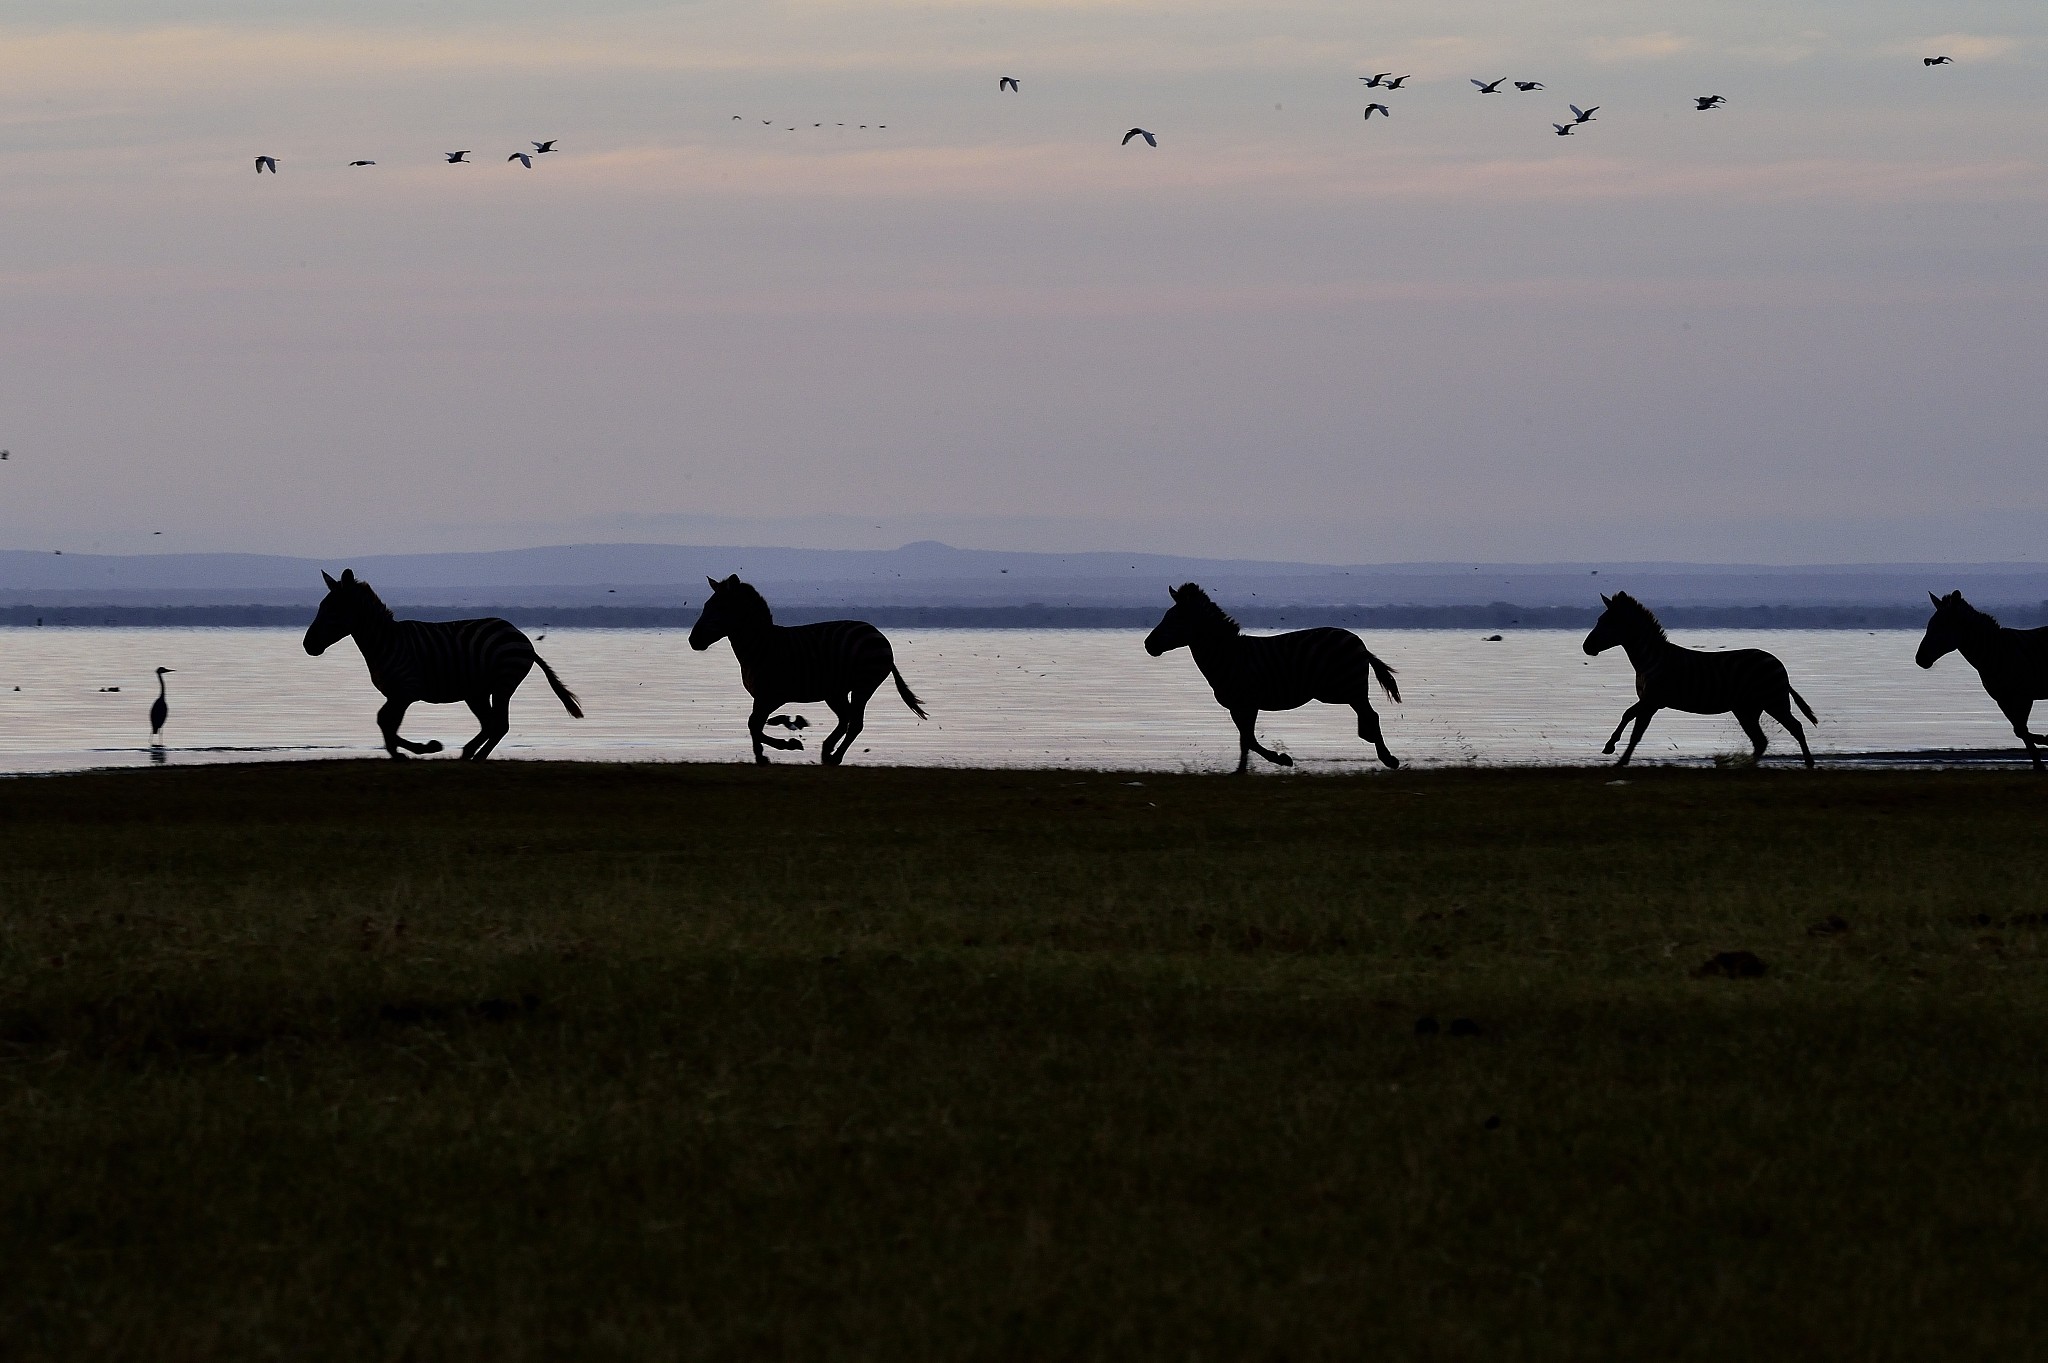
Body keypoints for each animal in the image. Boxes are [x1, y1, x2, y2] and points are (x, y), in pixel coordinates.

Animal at [302, 569, 582, 761]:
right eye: (321, 607)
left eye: (333, 609)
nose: (307, 645)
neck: (385, 642)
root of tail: (522, 637)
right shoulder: (395, 693)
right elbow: (385, 722)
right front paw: (408, 751)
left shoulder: (406, 690)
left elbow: (387, 722)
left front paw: (413, 750)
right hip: (477, 692)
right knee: (489, 723)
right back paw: (468, 752)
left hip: (503, 683)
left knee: (499, 724)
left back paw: (477, 757)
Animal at [688, 574, 926, 765]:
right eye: (706, 606)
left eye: (720, 608)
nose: (692, 640)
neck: (761, 646)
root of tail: (877, 633)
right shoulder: (761, 697)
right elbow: (754, 725)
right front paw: (762, 756)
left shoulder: (772, 695)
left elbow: (754, 724)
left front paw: (784, 747)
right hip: (836, 691)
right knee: (846, 719)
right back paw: (827, 750)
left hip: (863, 685)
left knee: (855, 723)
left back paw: (835, 757)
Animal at [1143, 582, 1401, 773]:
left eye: (1174, 619)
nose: (1147, 645)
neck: (1227, 655)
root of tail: (1359, 642)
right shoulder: (1237, 706)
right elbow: (1245, 739)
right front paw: (1241, 771)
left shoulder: (1247, 702)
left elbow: (1249, 739)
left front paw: (1280, 759)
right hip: (1341, 690)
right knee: (1367, 715)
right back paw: (1371, 741)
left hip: (1343, 687)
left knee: (1371, 715)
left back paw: (1388, 758)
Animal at [1583, 591, 1816, 767]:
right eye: (1599, 620)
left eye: (1606, 621)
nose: (1586, 647)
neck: (1650, 659)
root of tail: (1777, 662)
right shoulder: (1649, 701)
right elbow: (1631, 722)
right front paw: (1616, 754)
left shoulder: (1653, 700)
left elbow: (1632, 726)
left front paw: (1616, 754)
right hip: (1747, 709)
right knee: (1760, 741)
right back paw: (1744, 764)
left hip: (1773, 701)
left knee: (1795, 727)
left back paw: (1808, 762)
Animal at [1915, 590, 2048, 769]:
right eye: (1929, 626)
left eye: (1941, 627)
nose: (1919, 659)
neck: (1994, 653)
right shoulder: (2002, 699)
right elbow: (2019, 730)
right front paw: (2038, 762)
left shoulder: (2023, 696)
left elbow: (2022, 730)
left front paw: (2045, 741)